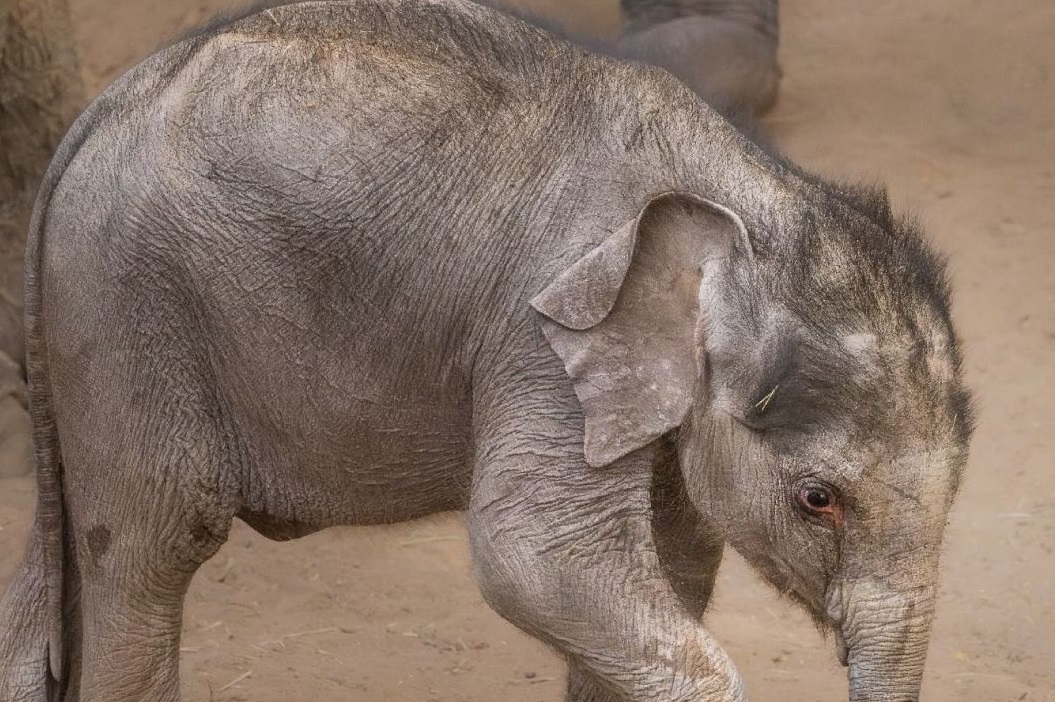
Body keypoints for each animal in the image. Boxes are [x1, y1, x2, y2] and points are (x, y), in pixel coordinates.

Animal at [0, 0, 973, 700]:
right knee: (150, 555)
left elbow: (674, 568)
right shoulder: (542, 331)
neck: (740, 195)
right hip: (124, 308)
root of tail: (101, 108)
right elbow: (533, 559)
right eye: (817, 500)